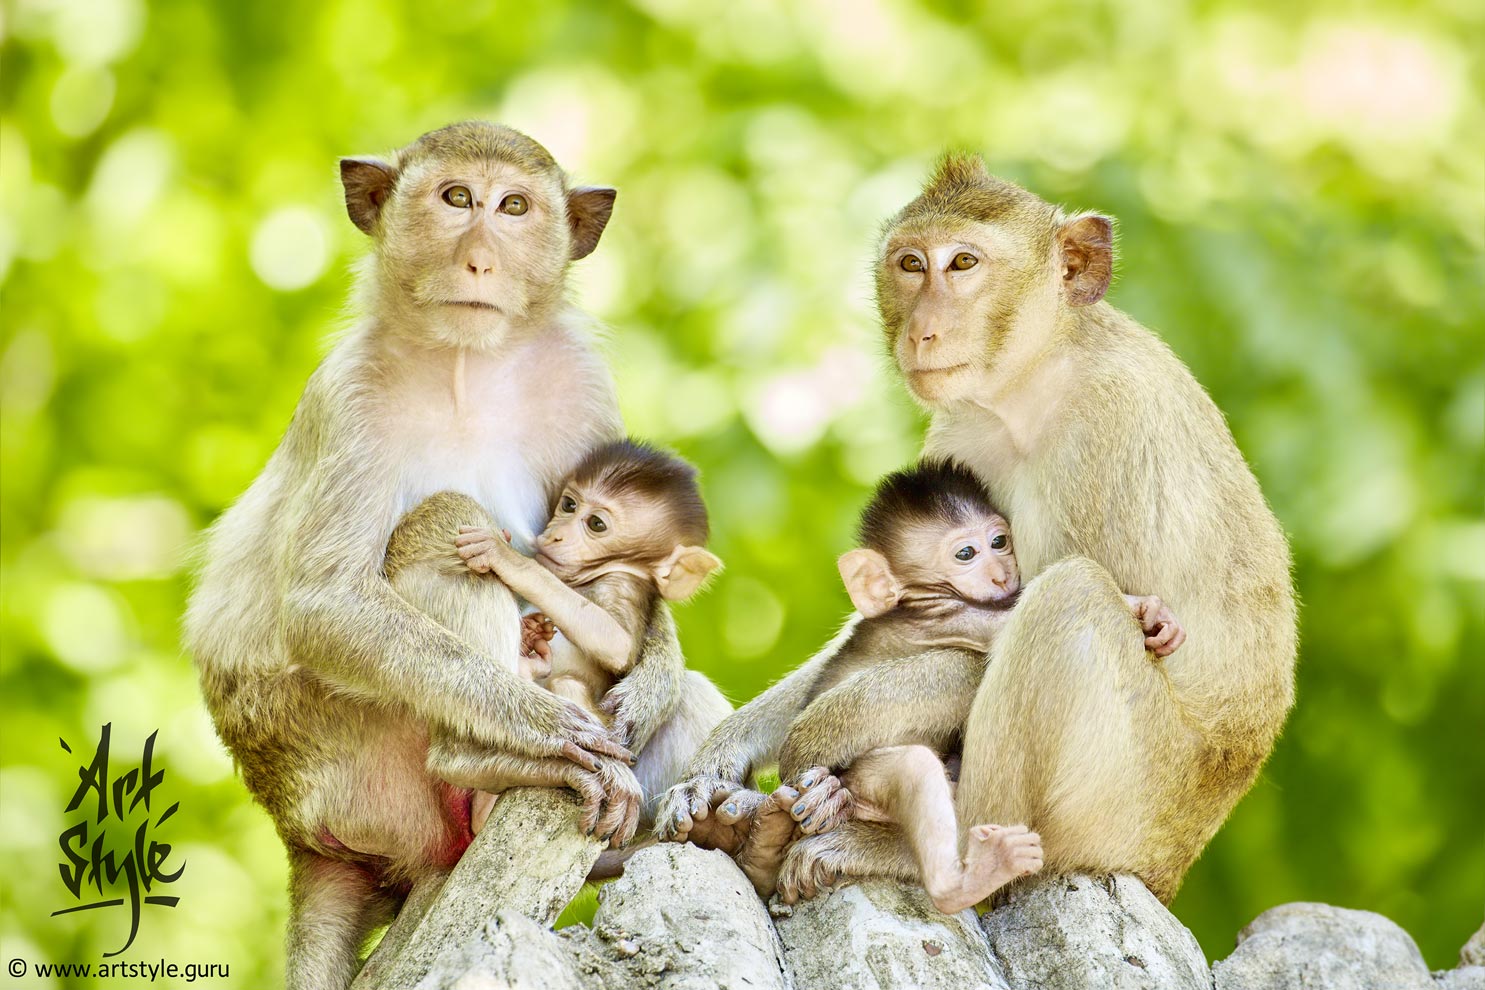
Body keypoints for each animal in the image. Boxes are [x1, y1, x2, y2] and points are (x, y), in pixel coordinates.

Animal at [184, 122, 730, 990]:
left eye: (513, 207)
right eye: (456, 199)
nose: (479, 258)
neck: (464, 365)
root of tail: (293, 832)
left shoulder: (578, 379)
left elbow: (641, 602)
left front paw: (649, 683)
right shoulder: (349, 398)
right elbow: (325, 603)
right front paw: (548, 728)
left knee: (691, 701)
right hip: (354, 773)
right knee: (443, 526)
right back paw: (488, 760)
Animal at [661, 154, 1297, 907]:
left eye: (962, 263)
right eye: (910, 264)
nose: (921, 330)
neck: (1036, 378)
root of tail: (1171, 868)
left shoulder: (1108, 429)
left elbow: (1004, 630)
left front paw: (813, 740)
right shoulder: (961, 429)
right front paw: (718, 760)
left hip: (1130, 805)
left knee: (1069, 596)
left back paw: (949, 859)